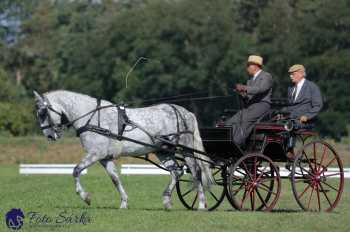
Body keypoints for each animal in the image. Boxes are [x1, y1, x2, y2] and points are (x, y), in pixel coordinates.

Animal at [33, 89, 213, 209]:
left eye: (42, 112)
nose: (49, 136)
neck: (91, 118)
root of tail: (186, 112)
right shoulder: (105, 158)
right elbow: (115, 179)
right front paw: (124, 203)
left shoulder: (95, 154)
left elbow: (76, 171)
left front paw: (85, 197)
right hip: (163, 151)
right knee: (176, 172)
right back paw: (167, 200)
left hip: (186, 149)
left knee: (196, 172)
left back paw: (201, 204)